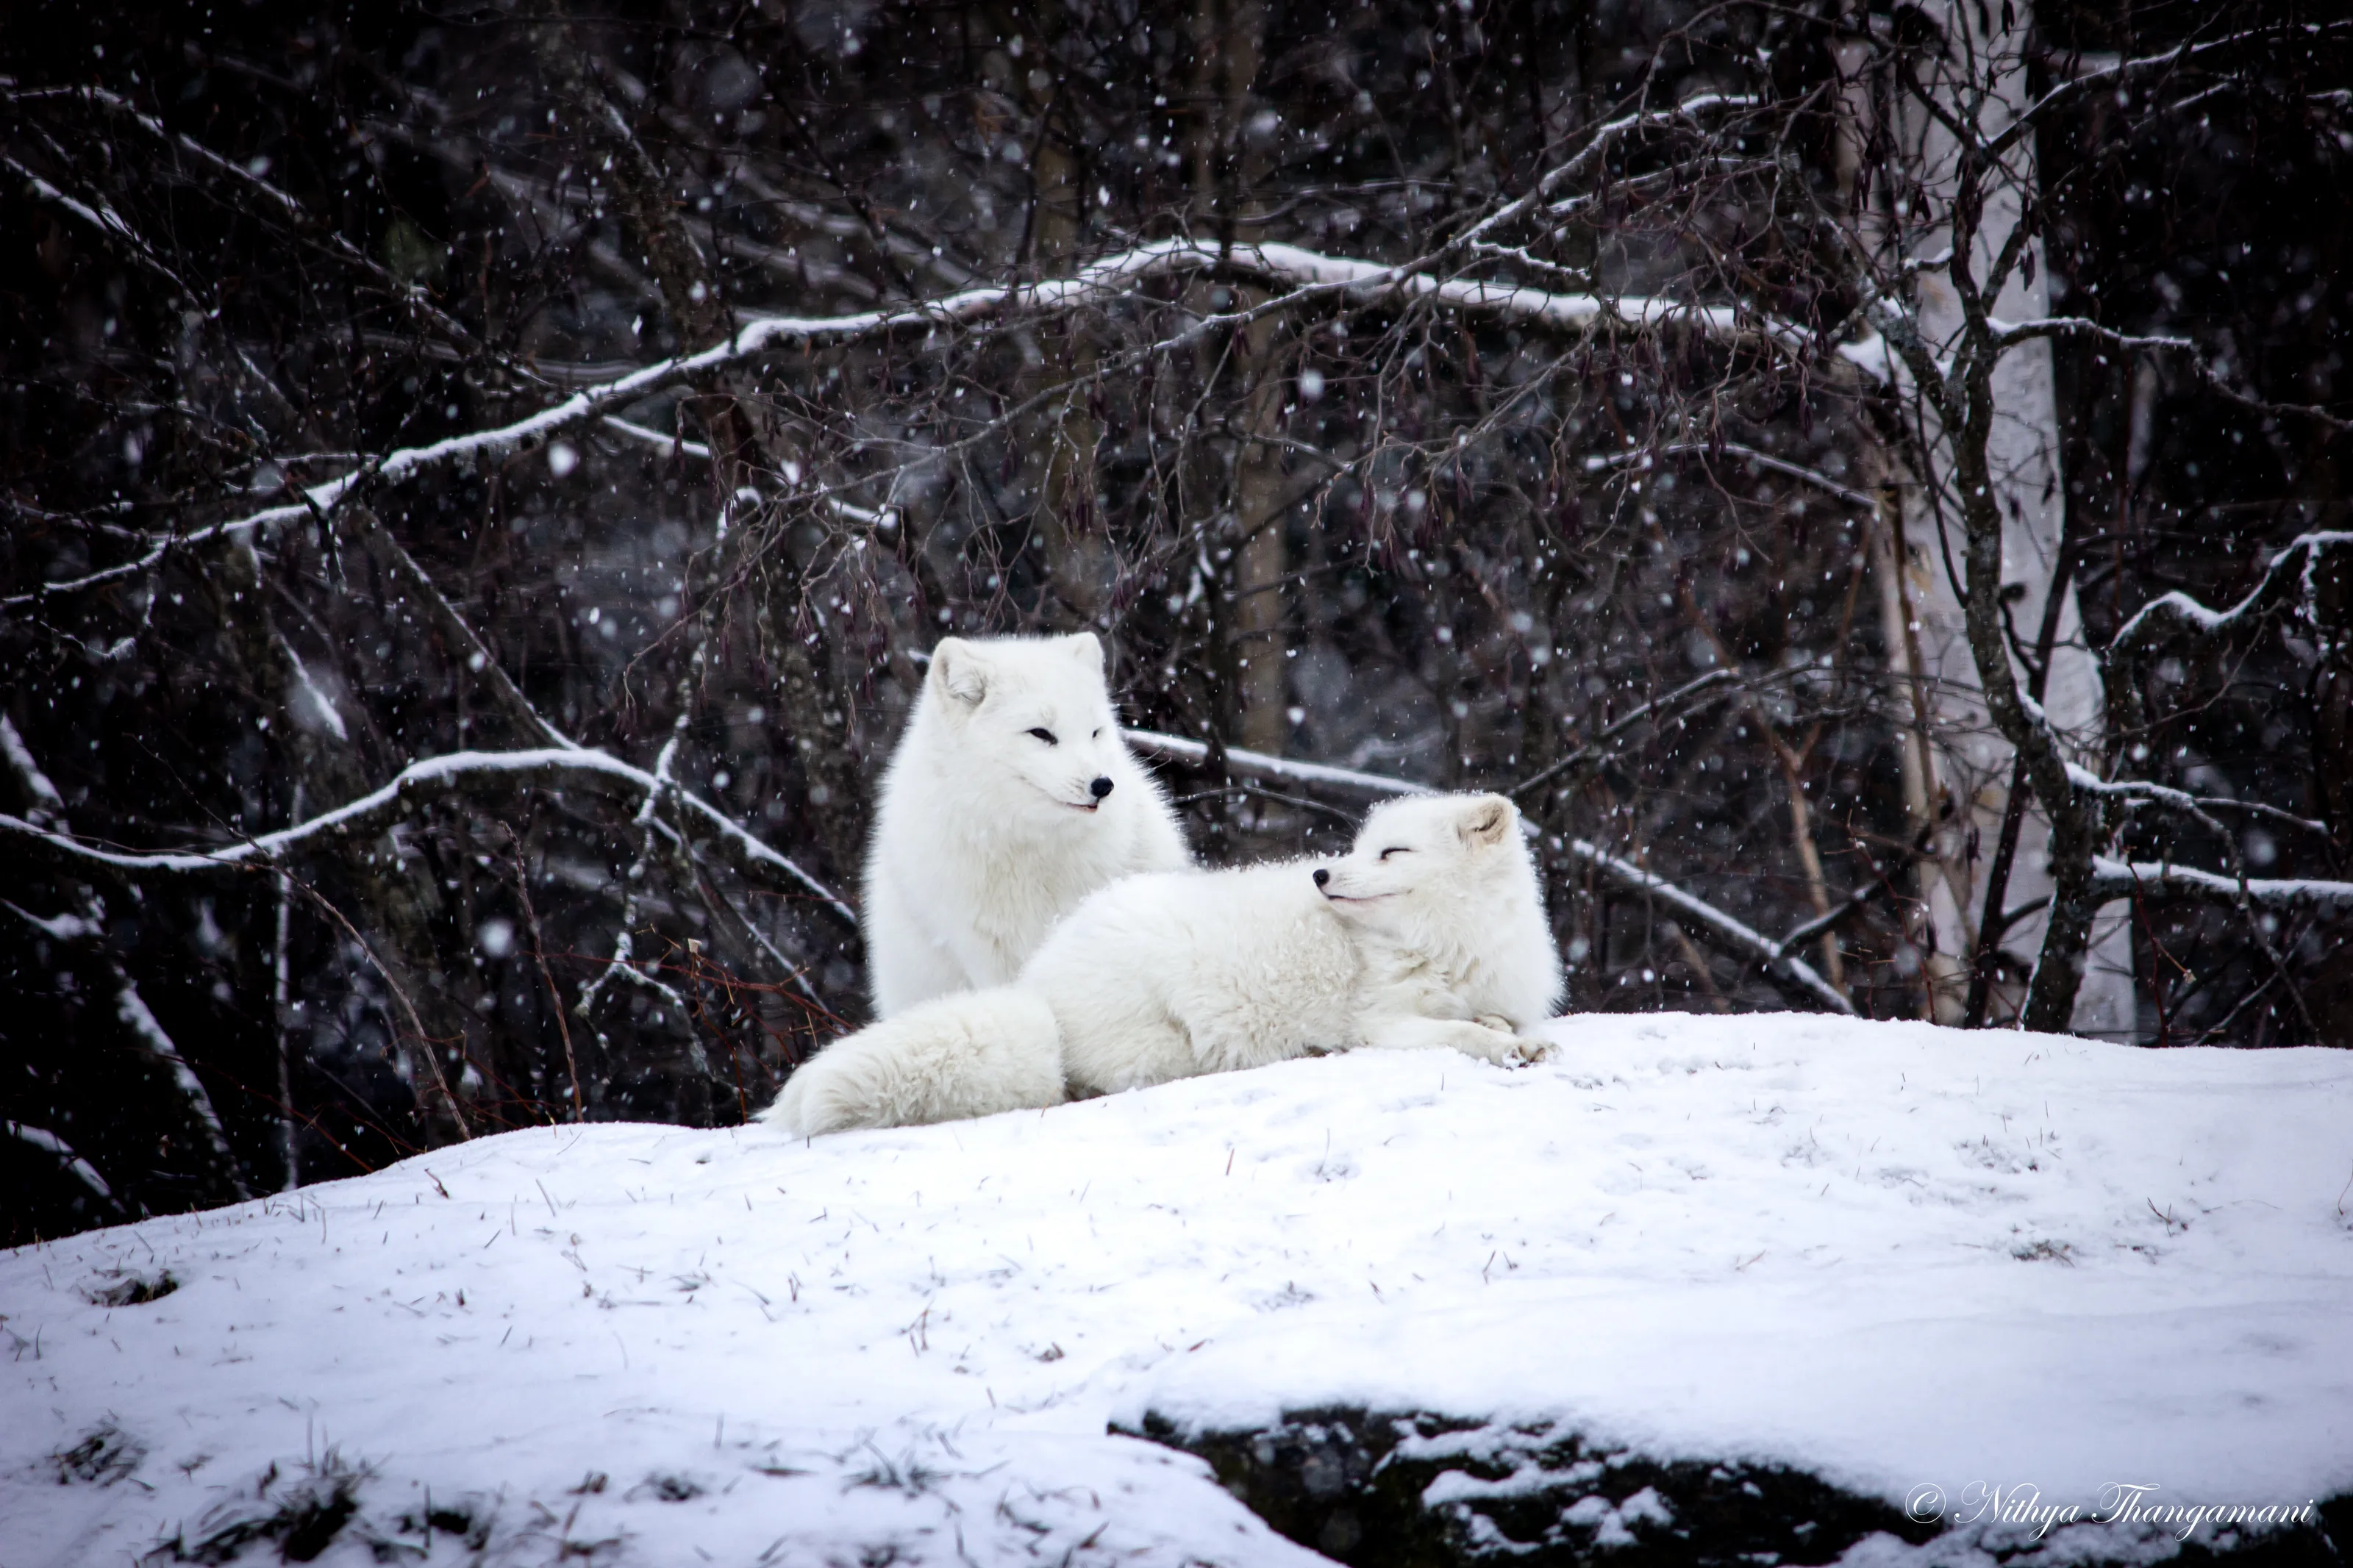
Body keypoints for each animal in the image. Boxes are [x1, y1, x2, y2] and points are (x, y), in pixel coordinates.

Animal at [769, 791, 1563, 1136]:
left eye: (1391, 853)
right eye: (1361, 848)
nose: (1320, 875)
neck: (1446, 941)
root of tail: (1036, 985)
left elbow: (1491, 1019)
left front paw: (1512, 1033)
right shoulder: (1379, 1024)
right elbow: (1459, 1034)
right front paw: (1508, 1047)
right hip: (1165, 1045)